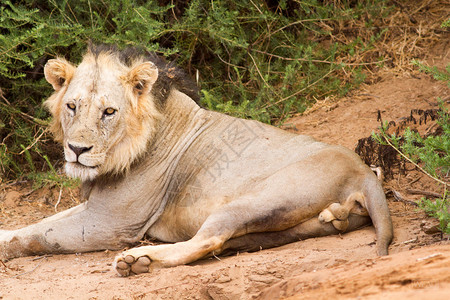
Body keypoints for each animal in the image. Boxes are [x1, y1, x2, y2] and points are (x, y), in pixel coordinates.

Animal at [0, 44, 394, 276]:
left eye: (109, 111)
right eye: (71, 106)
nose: (77, 150)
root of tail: (363, 170)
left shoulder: (110, 223)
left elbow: (39, 235)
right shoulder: (97, 207)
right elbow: (40, 223)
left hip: (251, 201)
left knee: (208, 240)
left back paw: (138, 261)